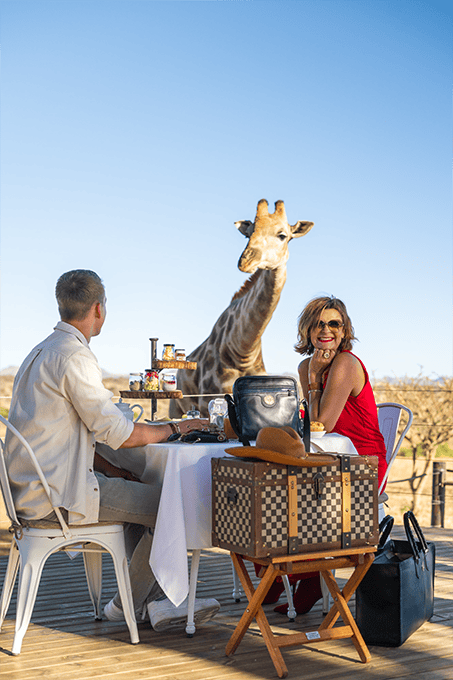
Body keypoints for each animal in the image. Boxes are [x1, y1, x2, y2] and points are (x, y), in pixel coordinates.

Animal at [170, 199, 314, 417]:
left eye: (282, 235)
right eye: (249, 233)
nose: (246, 261)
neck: (243, 350)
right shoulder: (207, 402)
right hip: (176, 407)